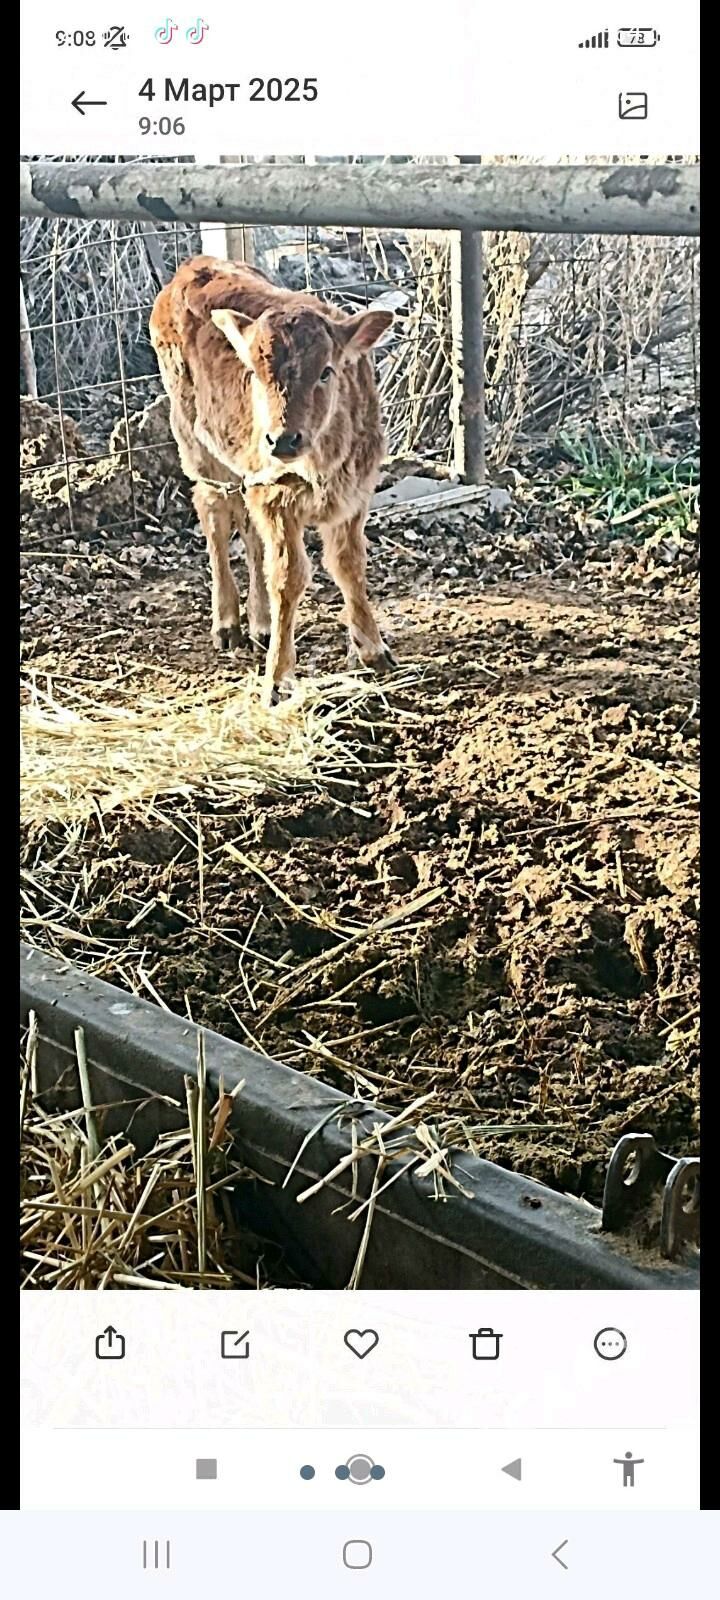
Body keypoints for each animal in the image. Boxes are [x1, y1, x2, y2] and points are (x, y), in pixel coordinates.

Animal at [148, 256, 393, 700]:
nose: (281, 439)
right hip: (195, 442)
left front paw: (372, 648)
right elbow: (288, 578)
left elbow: (349, 565)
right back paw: (228, 624)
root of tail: (192, 266)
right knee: (213, 513)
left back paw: (259, 624)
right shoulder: (276, 496)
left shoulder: (354, 497)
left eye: (326, 372)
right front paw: (278, 678)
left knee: (247, 530)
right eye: (254, 373)